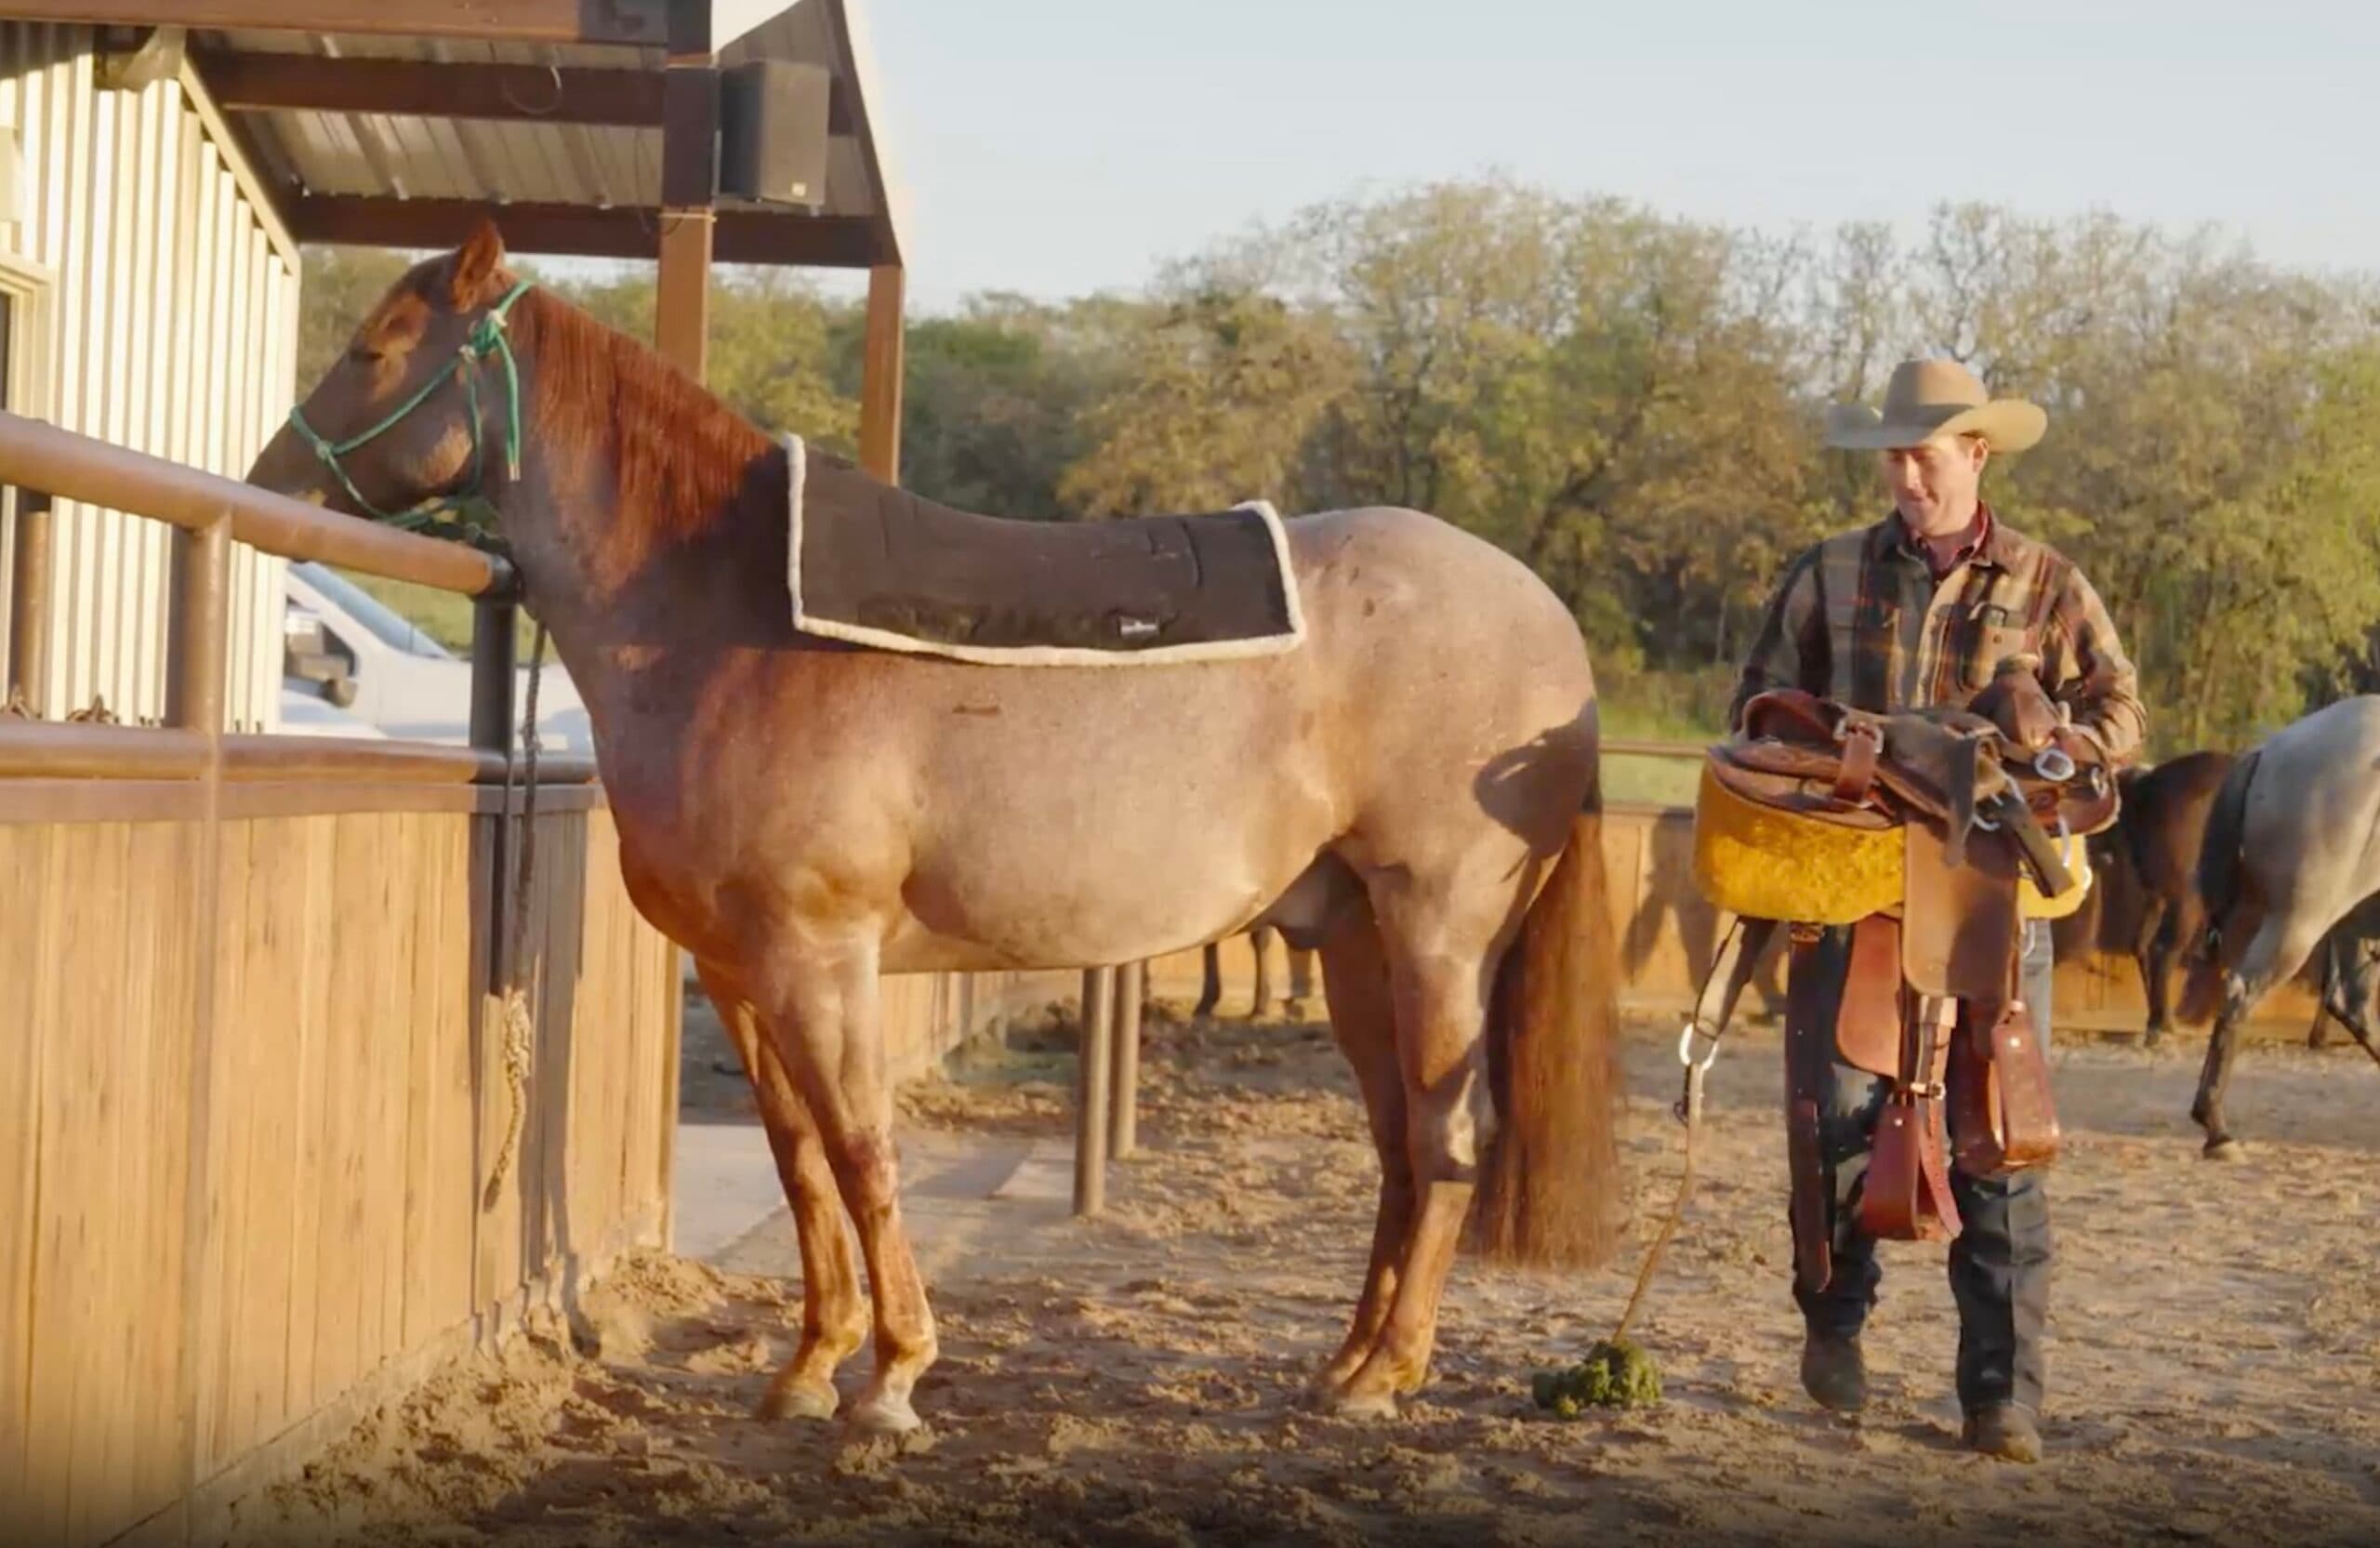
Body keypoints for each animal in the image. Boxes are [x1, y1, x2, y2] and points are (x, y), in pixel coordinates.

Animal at [244, 223, 1626, 1434]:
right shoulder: (739, 973)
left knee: (1447, 1142)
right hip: (1351, 945)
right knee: (1398, 1148)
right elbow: (801, 1160)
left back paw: (1383, 1379)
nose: (270, 489)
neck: (723, 624)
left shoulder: (822, 959)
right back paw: (1344, 1364)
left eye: (377, 345)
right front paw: (810, 1367)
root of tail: (1551, 630)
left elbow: (863, 1152)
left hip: (1438, 935)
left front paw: (895, 1378)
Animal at [2178, 696, 2380, 1157]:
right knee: (2241, 994)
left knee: (2353, 1005)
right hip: (2299, 921)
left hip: (2349, 922)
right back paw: (2216, 1128)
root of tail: (2270, 749)